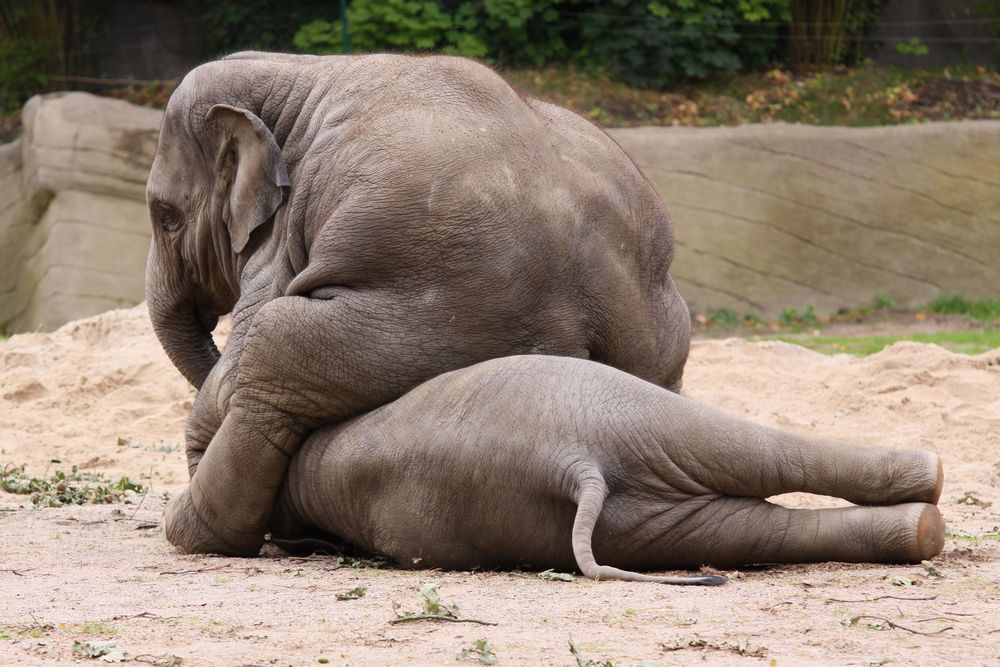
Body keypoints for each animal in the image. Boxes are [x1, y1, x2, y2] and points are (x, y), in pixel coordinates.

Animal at [146, 52, 696, 556]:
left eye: (165, 215)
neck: (290, 73)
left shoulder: (281, 237)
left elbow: (255, 327)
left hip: (443, 317)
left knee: (277, 339)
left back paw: (194, 528)